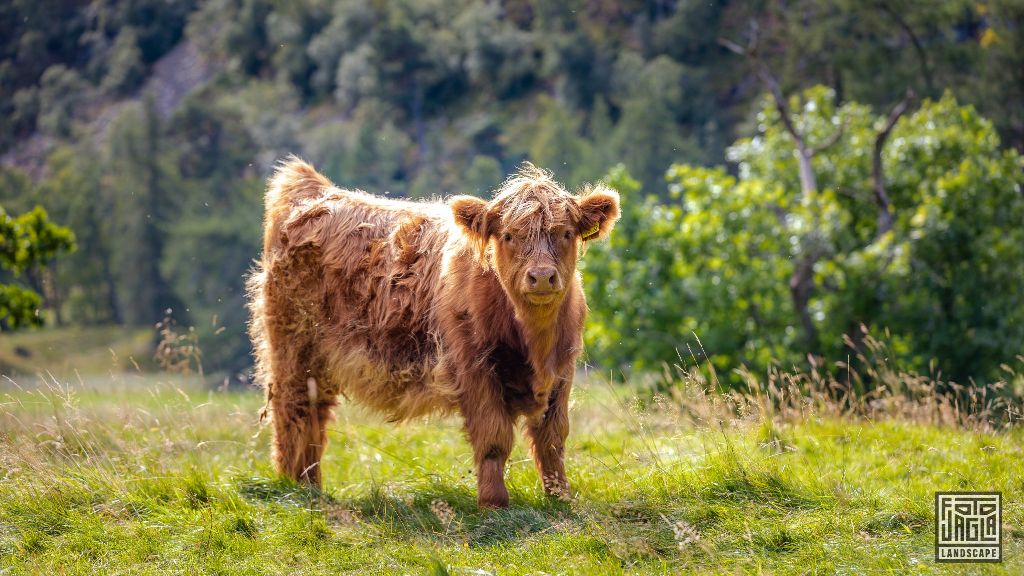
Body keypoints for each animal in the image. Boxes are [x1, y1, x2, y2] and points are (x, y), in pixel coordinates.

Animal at [243, 157, 618, 506]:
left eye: (565, 233)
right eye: (509, 236)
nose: (541, 277)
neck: (535, 340)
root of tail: (317, 192)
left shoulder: (562, 373)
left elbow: (552, 438)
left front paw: (560, 497)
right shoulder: (475, 370)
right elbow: (493, 438)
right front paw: (494, 502)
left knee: (314, 416)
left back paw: (311, 487)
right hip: (292, 348)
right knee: (293, 414)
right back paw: (296, 488)